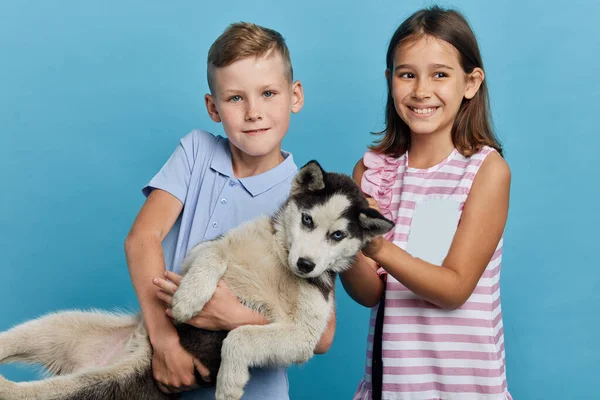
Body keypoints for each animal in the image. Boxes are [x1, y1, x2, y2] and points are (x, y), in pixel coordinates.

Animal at [0, 161, 394, 398]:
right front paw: (190, 298)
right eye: (307, 220)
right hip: (58, 327)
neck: (279, 260)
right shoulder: (199, 253)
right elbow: (212, 255)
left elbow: (240, 335)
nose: (306, 264)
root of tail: (131, 353)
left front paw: (230, 382)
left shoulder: (305, 336)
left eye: (338, 236)